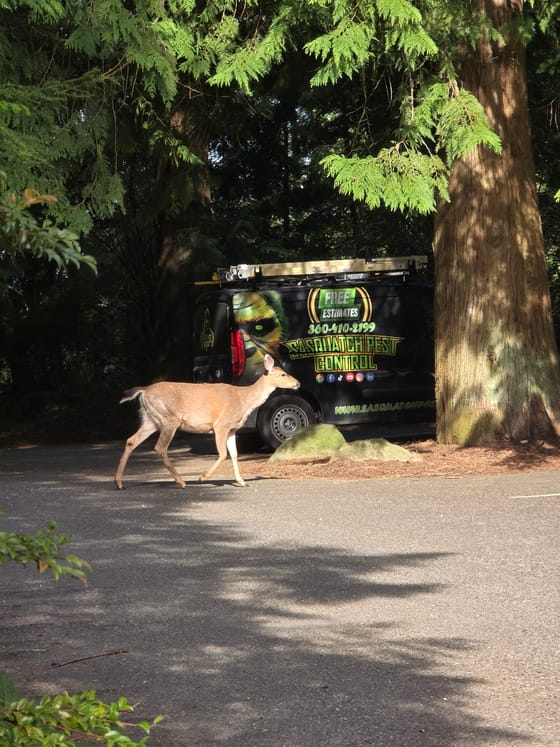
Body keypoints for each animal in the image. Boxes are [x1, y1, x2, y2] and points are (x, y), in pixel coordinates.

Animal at [115, 354, 300, 489]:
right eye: (283, 374)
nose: (297, 383)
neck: (243, 400)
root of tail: (144, 391)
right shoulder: (220, 425)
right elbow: (223, 454)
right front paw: (202, 478)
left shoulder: (232, 429)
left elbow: (234, 454)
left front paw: (241, 481)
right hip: (169, 419)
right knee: (160, 448)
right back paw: (181, 482)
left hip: (151, 419)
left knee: (131, 440)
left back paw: (119, 482)